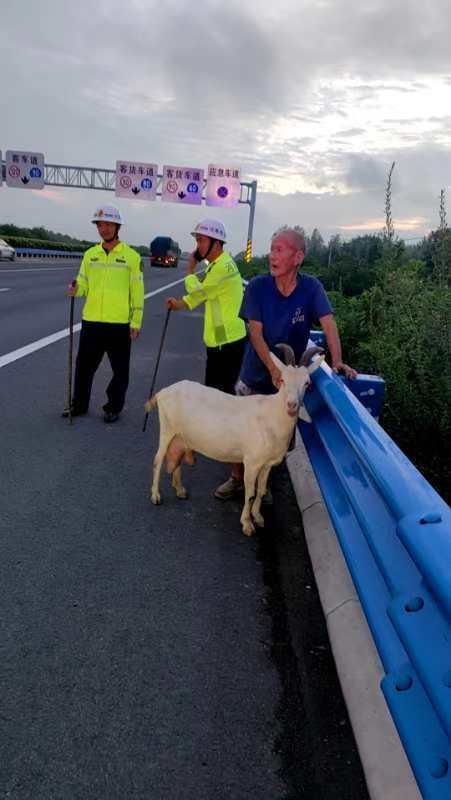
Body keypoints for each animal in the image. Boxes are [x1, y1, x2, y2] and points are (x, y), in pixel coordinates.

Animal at [145, 346, 324, 536]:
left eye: (307, 383)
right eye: (282, 380)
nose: (292, 405)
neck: (272, 414)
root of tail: (163, 392)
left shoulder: (267, 464)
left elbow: (261, 491)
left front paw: (258, 517)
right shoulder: (252, 462)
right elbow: (250, 493)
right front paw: (247, 524)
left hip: (180, 435)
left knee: (176, 458)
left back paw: (180, 490)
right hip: (167, 429)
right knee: (158, 460)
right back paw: (156, 495)